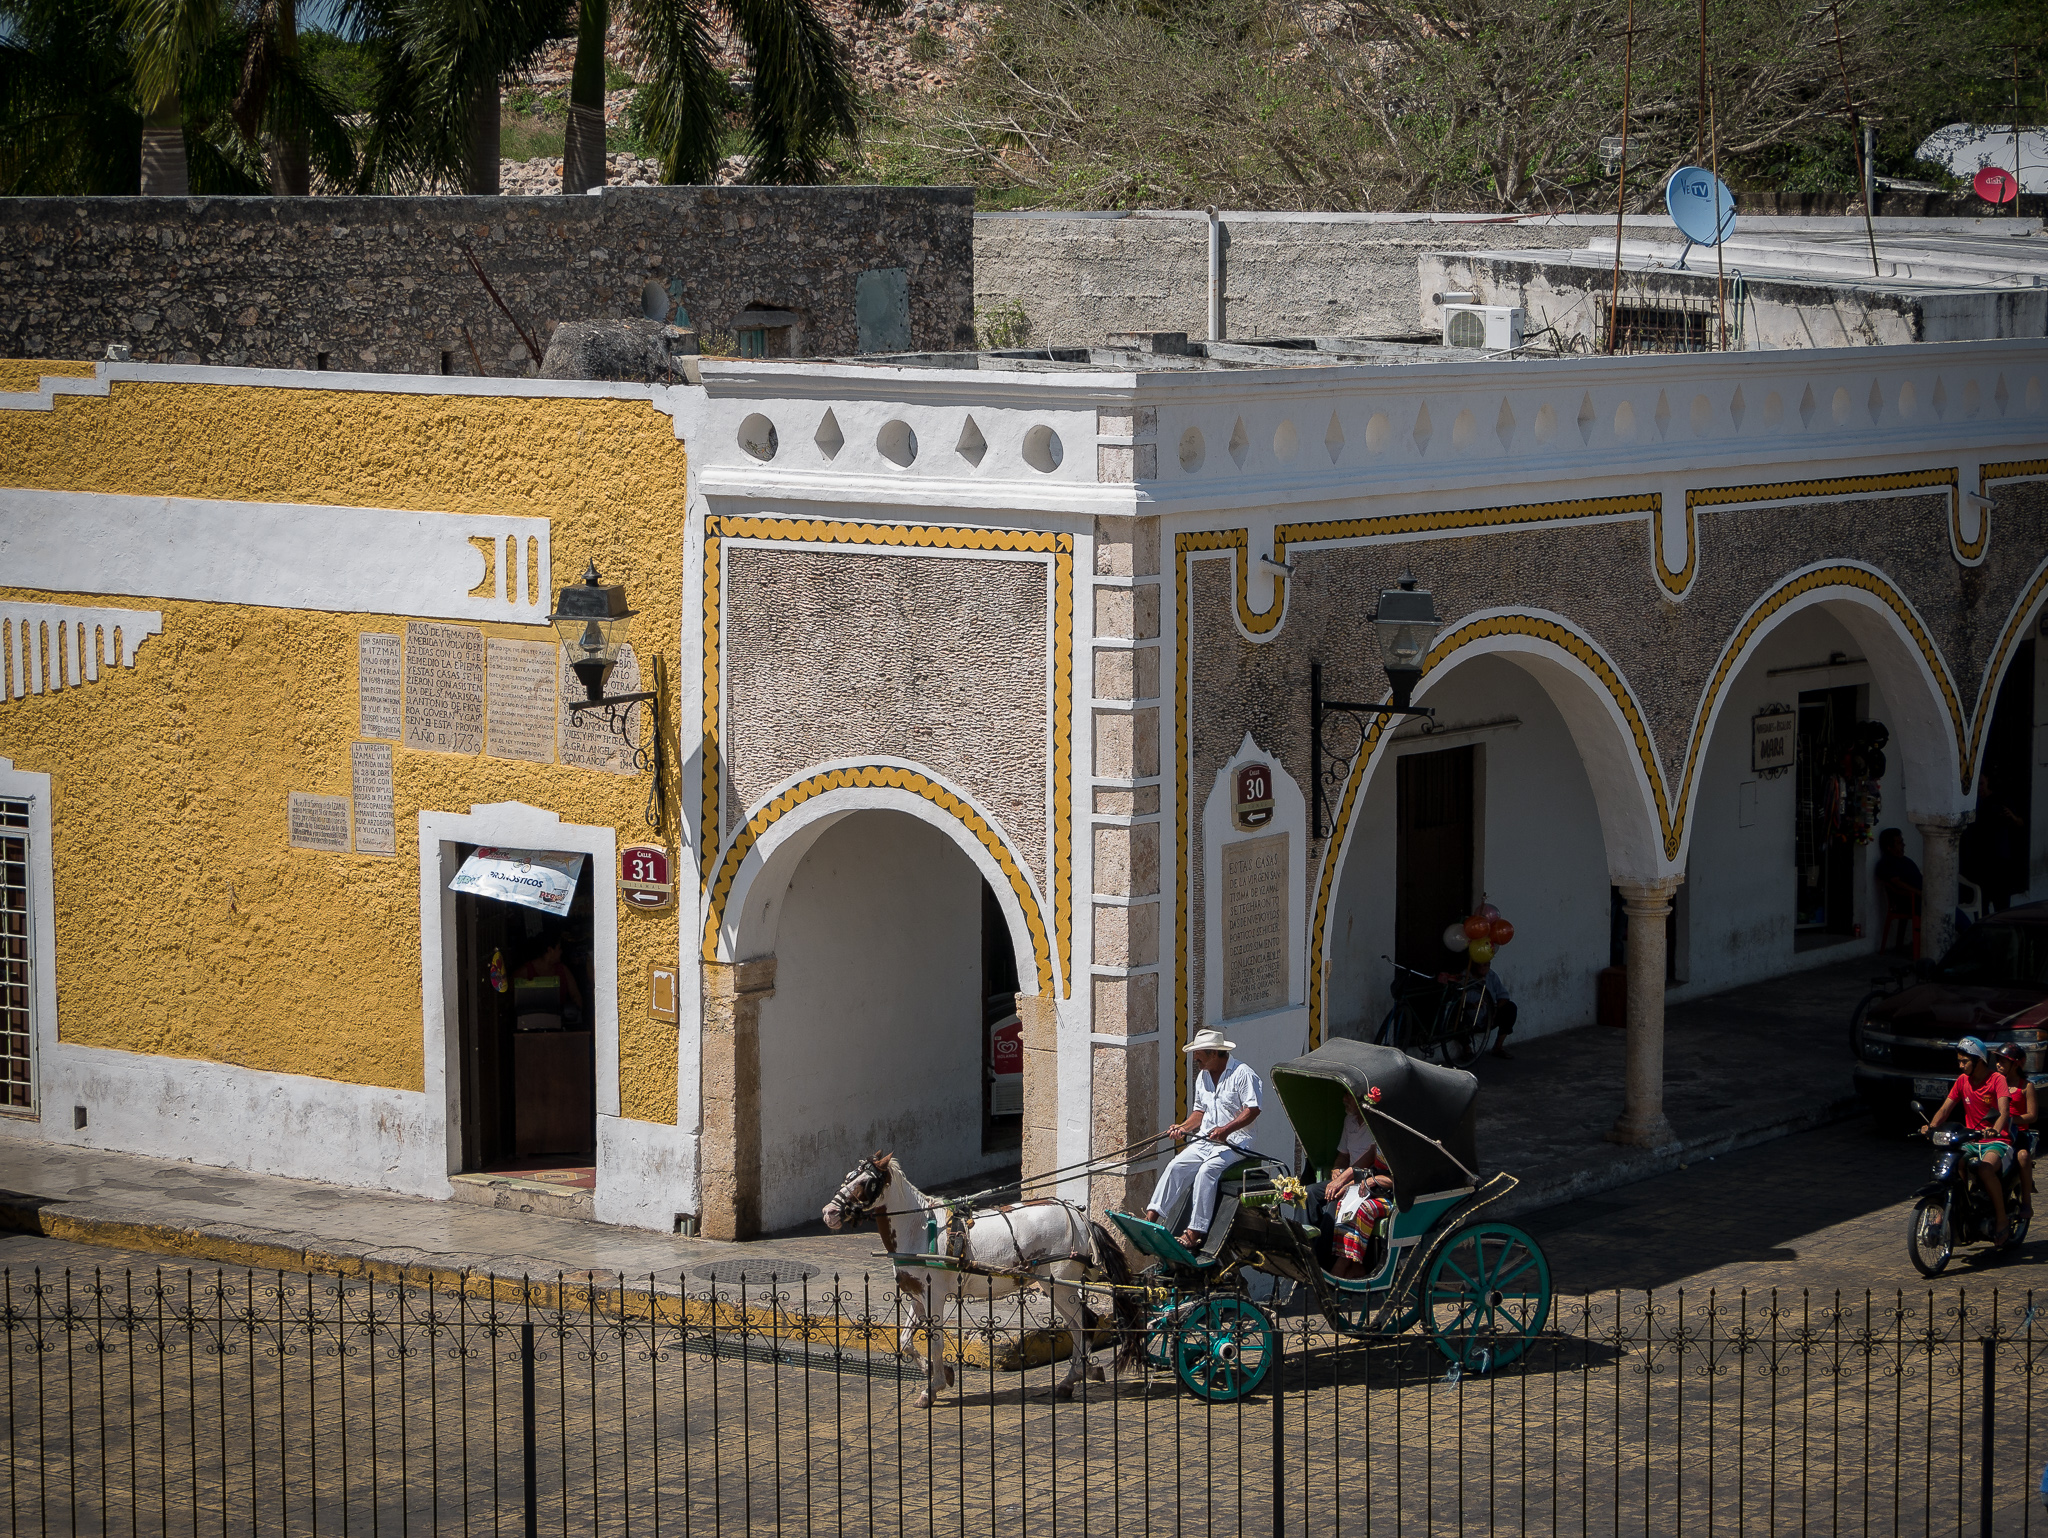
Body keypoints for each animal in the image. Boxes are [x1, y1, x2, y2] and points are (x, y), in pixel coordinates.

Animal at [819, 1155, 1146, 1408]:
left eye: (865, 1183)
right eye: (847, 1177)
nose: (829, 1213)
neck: (919, 1228)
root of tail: (1079, 1218)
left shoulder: (934, 1297)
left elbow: (935, 1341)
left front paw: (933, 1387)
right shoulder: (917, 1296)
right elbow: (906, 1342)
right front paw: (940, 1373)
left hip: (1061, 1283)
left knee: (1085, 1322)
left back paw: (1075, 1376)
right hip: (1052, 1285)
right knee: (1077, 1326)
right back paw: (1075, 1378)